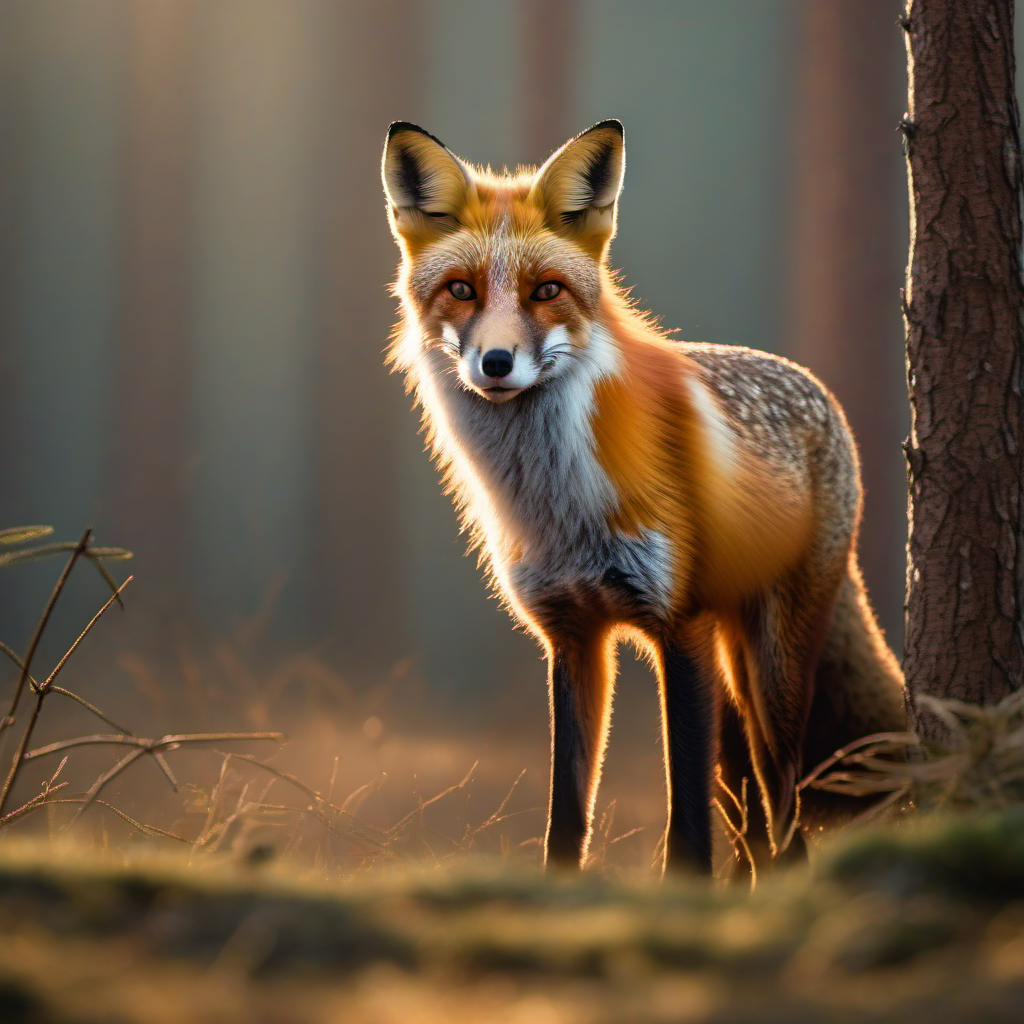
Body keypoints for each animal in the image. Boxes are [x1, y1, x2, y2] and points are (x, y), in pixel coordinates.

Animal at [381, 118, 906, 877]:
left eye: (546, 290)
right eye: (461, 289)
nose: (496, 363)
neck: (561, 506)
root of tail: (816, 386)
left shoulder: (675, 625)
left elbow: (685, 822)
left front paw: (683, 890)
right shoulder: (571, 635)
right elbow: (566, 816)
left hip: (770, 670)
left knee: (783, 810)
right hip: (731, 675)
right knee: (749, 823)